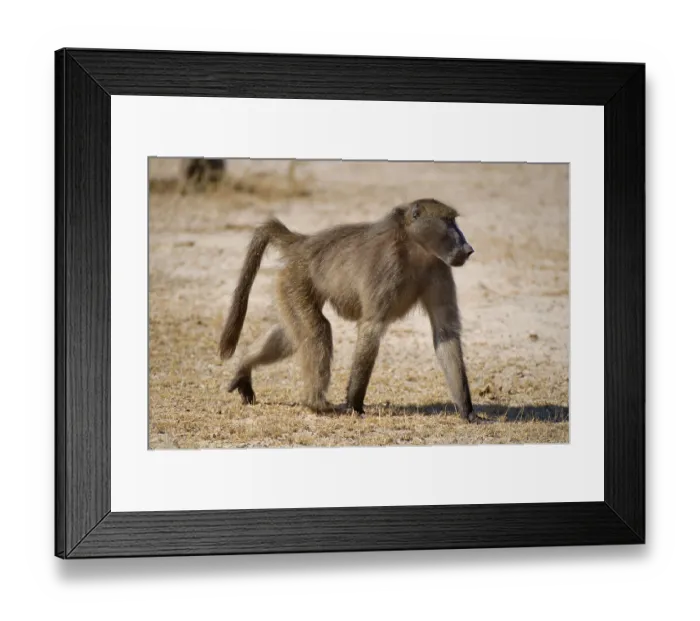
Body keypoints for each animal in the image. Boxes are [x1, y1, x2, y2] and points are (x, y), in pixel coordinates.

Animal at [218, 198, 483, 422]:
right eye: (449, 222)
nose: (469, 248)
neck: (415, 248)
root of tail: (303, 243)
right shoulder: (387, 268)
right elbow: (371, 328)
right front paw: (354, 404)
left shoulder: (439, 269)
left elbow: (446, 332)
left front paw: (467, 410)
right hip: (294, 279)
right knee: (317, 331)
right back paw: (316, 403)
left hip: (290, 286)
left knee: (293, 335)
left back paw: (244, 367)